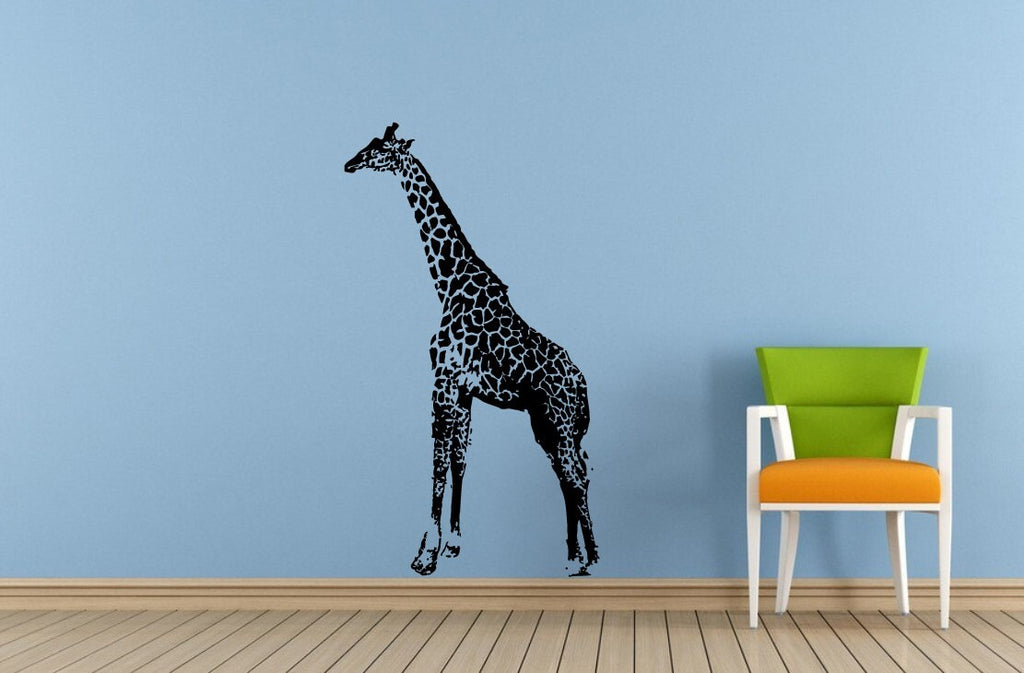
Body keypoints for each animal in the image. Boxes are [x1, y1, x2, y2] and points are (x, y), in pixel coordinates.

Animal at [344, 123, 598, 576]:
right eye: (369, 145)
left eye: (380, 151)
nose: (349, 163)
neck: (448, 282)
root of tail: (583, 387)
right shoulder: (463, 391)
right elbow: (460, 459)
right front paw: (453, 544)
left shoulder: (442, 383)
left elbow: (438, 464)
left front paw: (425, 553)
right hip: (551, 425)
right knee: (572, 475)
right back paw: (577, 556)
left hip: (558, 422)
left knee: (576, 477)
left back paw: (586, 561)